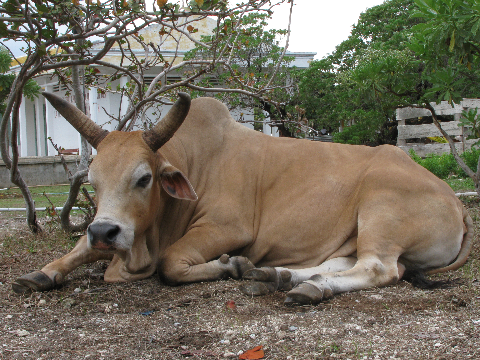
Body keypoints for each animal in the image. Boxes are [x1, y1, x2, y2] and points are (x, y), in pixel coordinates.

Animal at [11, 92, 472, 304]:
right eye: (93, 180)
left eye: (144, 178)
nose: (105, 231)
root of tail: (455, 201)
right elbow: (77, 247)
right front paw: (43, 273)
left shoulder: (225, 229)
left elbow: (170, 264)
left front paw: (228, 266)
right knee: (345, 263)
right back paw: (276, 275)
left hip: (381, 208)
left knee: (378, 269)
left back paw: (305, 288)